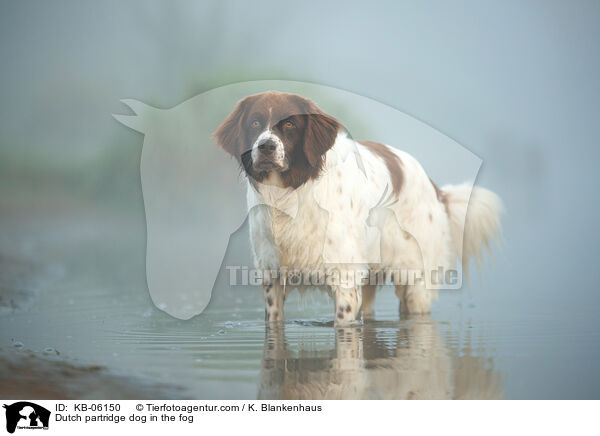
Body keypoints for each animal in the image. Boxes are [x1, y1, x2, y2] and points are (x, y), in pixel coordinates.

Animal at [213, 91, 500, 324]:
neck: (290, 194)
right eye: (254, 123)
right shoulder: (271, 277)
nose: (266, 146)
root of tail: (434, 186)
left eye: (290, 124)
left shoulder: (344, 277)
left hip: (416, 282)